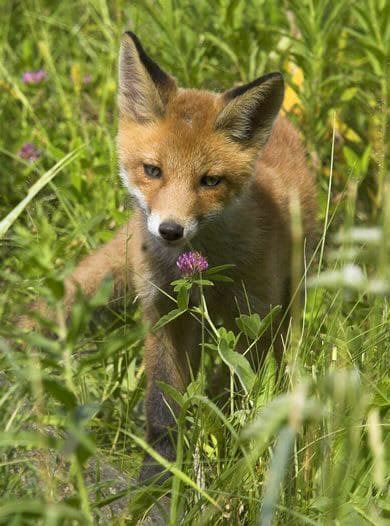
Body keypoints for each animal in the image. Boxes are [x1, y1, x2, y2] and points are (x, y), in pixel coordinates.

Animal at [32, 32, 316, 482]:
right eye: (153, 171)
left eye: (210, 181)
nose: (169, 230)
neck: (208, 268)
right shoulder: (164, 312)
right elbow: (162, 408)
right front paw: (159, 474)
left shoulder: (256, 316)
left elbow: (247, 390)